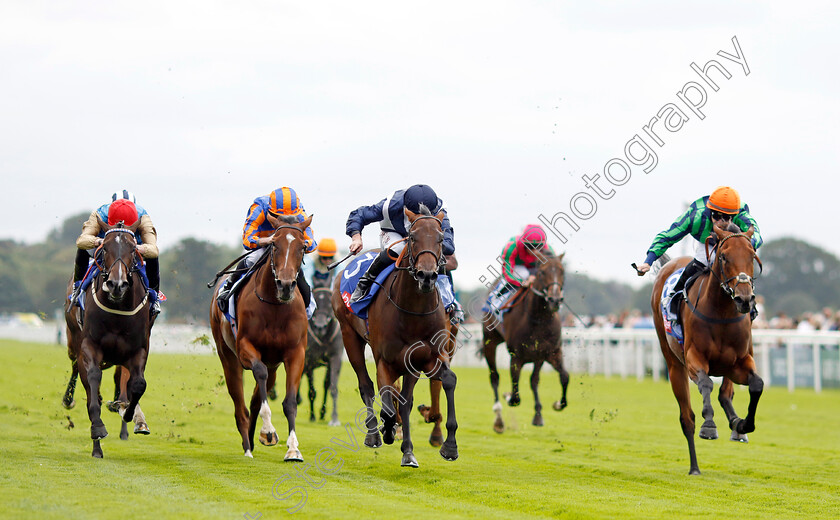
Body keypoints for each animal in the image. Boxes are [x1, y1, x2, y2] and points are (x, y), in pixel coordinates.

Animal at [67, 221, 153, 458]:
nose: (117, 284)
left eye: (132, 249)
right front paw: (98, 428)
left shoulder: (138, 350)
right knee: (82, 376)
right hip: (74, 343)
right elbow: (93, 380)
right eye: (104, 248)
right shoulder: (90, 346)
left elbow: (138, 384)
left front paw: (130, 414)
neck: (118, 309)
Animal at [212, 214, 314, 460]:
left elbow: (290, 402)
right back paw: (248, 446)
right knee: (240, 405)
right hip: (228, 358)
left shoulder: (295, 354)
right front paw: (268, 431)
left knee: (256, 398)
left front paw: (293, 449)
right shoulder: (245, 348)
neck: (275, 307)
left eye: (302, 247)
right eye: (274, 244)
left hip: (274, 366)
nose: (285, 286)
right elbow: (258, 372)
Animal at [332, 207, 460, 468]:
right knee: (366, 385)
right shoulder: (385, 361)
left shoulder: (424, 359)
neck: (413, 313)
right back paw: (373, 434)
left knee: (402, 398)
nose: (427, 275)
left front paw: (444, 446)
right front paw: (388, 430)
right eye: (412, 237)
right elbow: (387, 400)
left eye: (441, 238)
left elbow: (443, 382)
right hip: (349, 335)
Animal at [482, 254, 568, 432]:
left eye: (562, 271)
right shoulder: (517, 356)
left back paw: (537, 415)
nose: (555, 300)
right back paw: (499, 419)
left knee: (534, 380)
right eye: (542, 272)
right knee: (494, 377)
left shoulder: (550, 352)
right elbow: (515, 396)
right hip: (489, 341)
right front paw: (508, 396)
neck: (539, 319)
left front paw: (557, 404)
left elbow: (564, 376)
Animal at [652, 223, 764, 476]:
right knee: (687, 418)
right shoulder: (694, 359)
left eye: (752, 256)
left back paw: (737, 428)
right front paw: (710, 426)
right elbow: (705, 384)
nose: (744, 299)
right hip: (673, 364)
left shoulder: (738, 362)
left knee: (726, 393)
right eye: (724, 257)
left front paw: (744, 423)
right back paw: (694, 467)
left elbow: (756, 385)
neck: (721, 313)